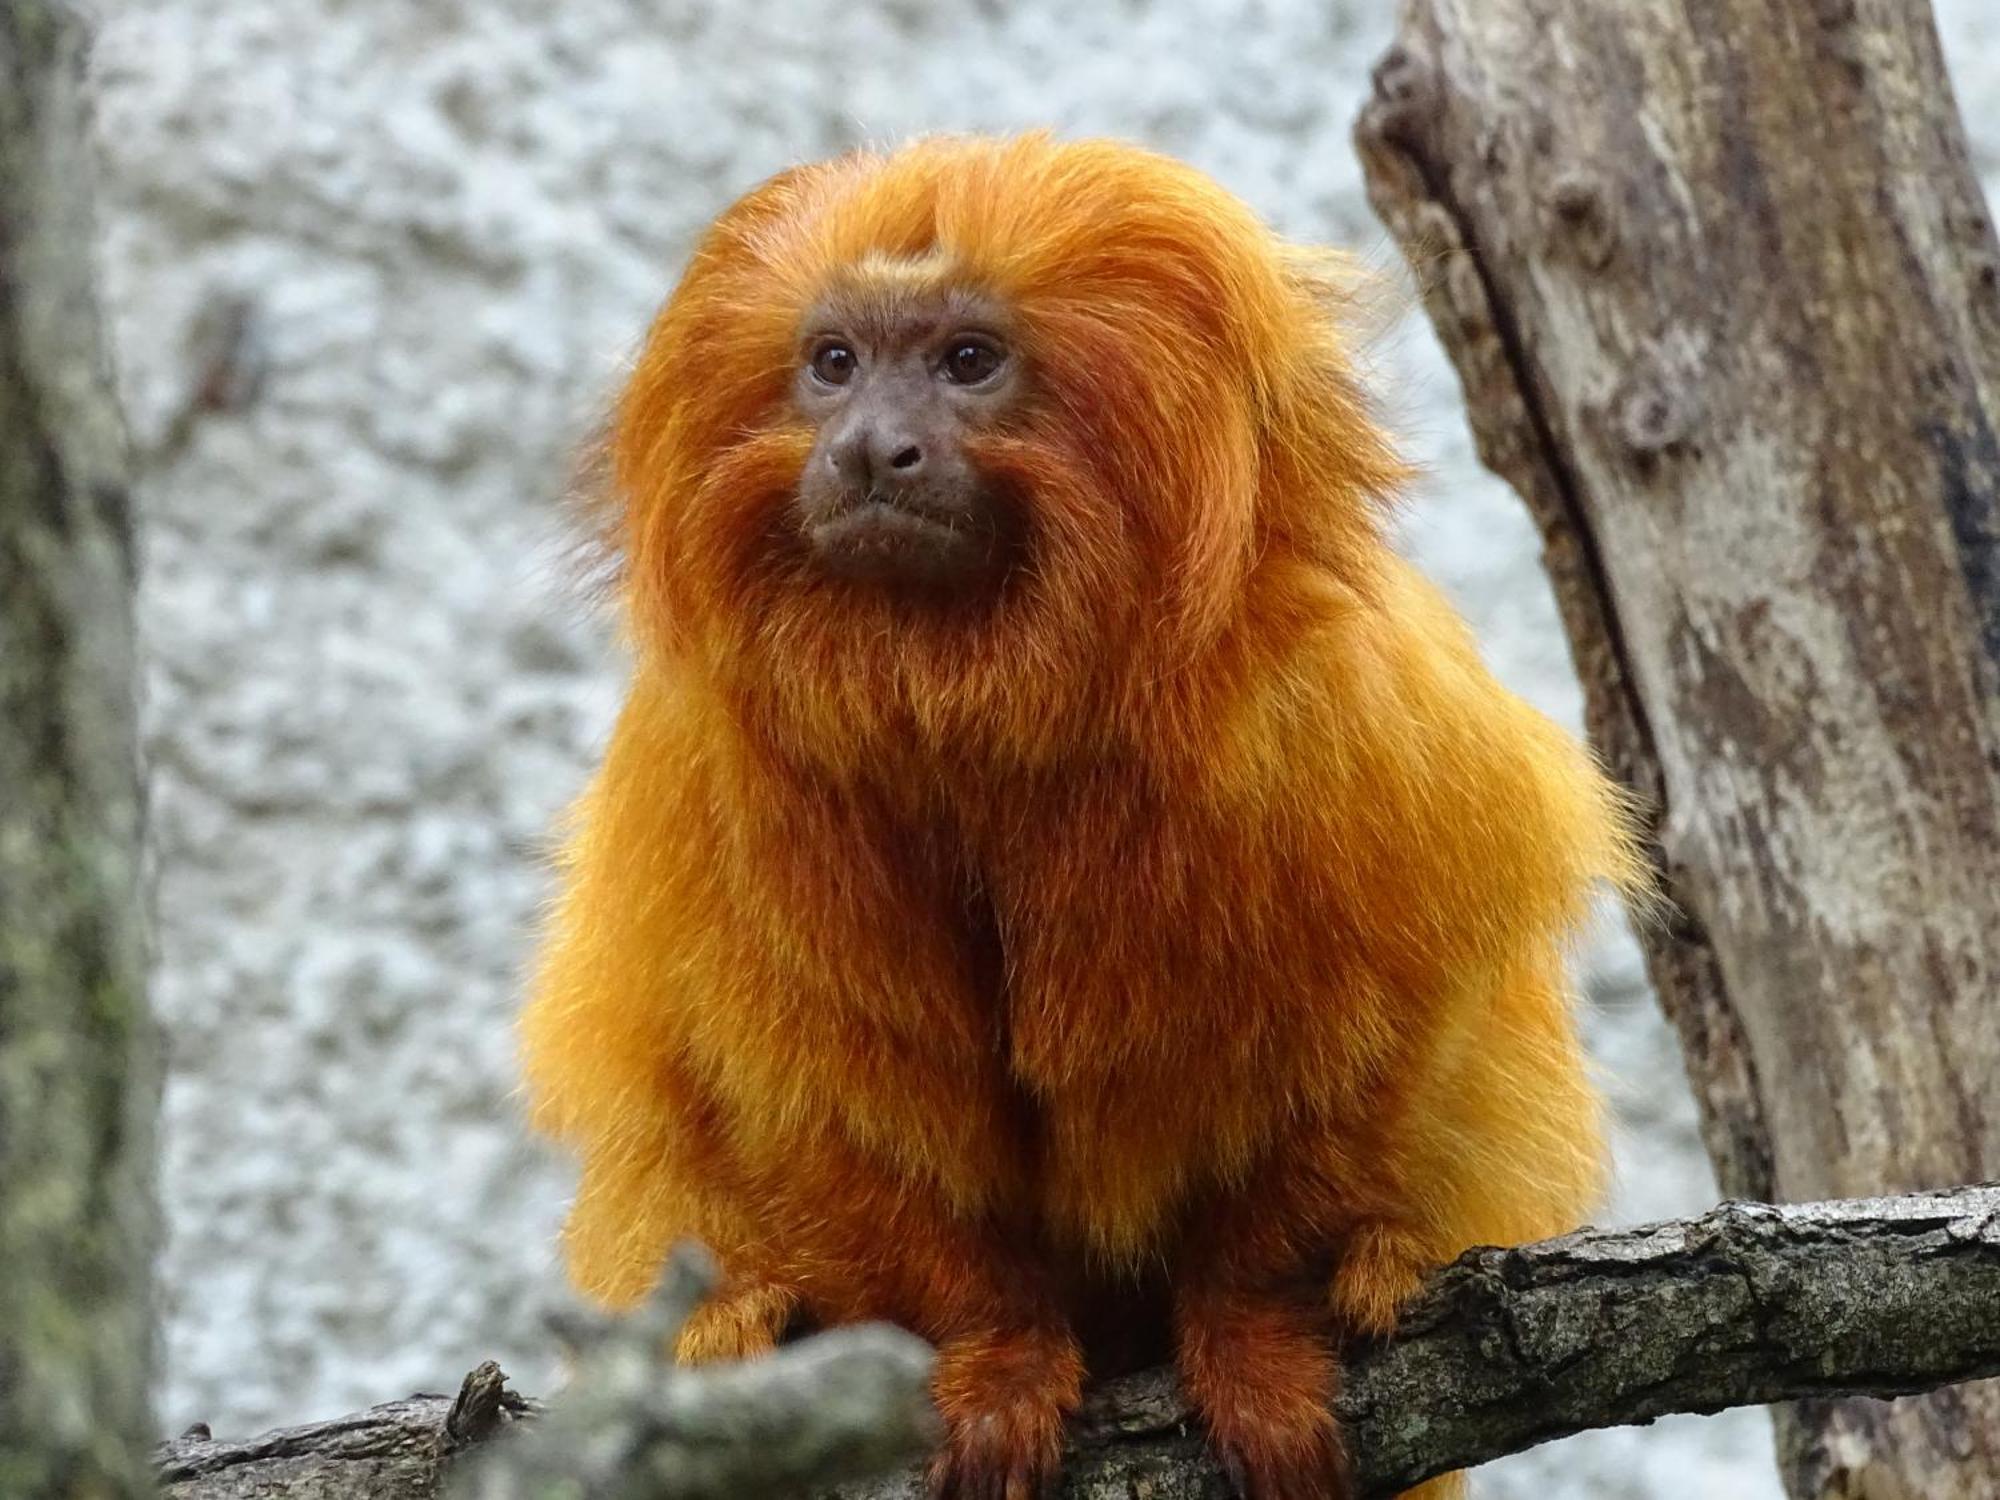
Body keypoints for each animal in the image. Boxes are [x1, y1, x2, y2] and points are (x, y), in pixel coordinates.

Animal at [520, 132, 1640, 1500]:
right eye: (833, 364)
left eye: (966, 361)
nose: (871, 448)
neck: (970, 684)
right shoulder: (715, 767)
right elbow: (808, 1096)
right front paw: (994, 1353)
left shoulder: (1333, 718)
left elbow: (1390, 1028)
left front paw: (1260, 1322)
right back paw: (745, 1324)